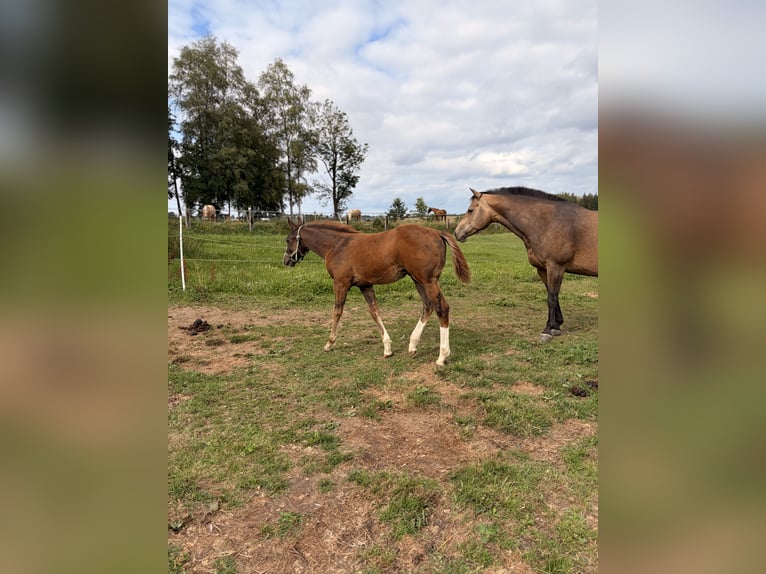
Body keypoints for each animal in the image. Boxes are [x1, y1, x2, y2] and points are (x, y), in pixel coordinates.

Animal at [283, 219, 471, 365]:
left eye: (288, 239)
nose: (286, 260)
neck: (336, 244)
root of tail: (437, 232)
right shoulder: (365, 285)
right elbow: (374, 311)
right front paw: (387, 348)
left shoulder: (340, 283)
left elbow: (337, 311)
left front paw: (329, 343)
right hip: (417, 279)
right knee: (428, 305)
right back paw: (412, 345)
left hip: (428, 280)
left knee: (441, 308)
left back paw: (442, 356)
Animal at [454, 187, 598, 341]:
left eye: (470, 210)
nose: (457, 233)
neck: (547, 222)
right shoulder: (543, 269)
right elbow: (553, 295)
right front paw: (557, 326)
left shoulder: (556, 268)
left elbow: (552, 298)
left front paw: (547, 330)